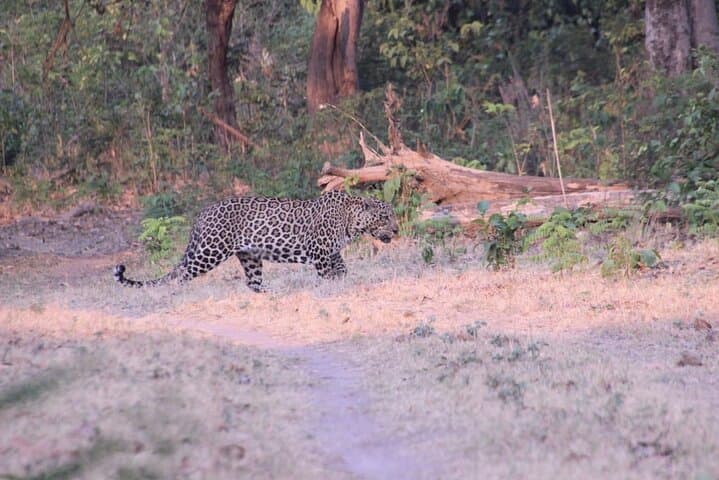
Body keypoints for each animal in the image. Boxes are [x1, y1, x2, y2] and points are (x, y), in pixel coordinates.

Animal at [113, 190, 399, 292]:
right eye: (385, 217)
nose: (397, 230)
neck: (351, 221)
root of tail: (203, 213)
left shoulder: (332, 253)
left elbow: (342, 269)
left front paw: (342, 281)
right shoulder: (319, 253)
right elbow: (327, 274)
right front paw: (331, 288)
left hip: (250, 257)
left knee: (252, 283)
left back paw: (272, 294)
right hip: (210, 251)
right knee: (181, 274)